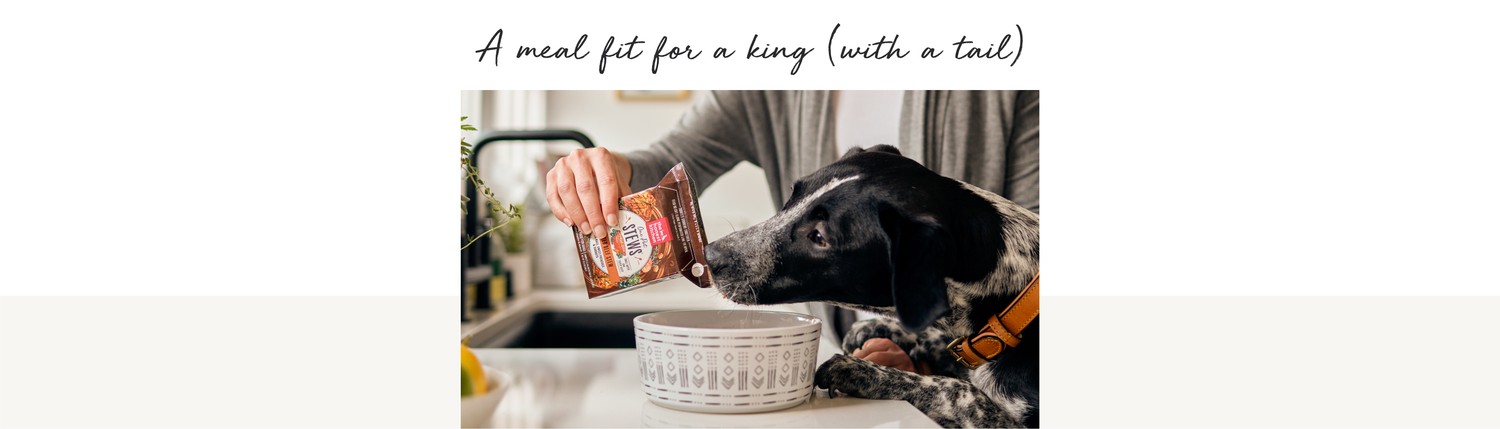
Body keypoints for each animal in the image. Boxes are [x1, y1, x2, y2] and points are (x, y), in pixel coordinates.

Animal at [705, 145, 1038, 426]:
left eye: (819, 237)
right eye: (793, 196)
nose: (709, 256)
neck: (1011, 308)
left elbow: (960, 391)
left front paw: (863, 371)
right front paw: (880, 329)